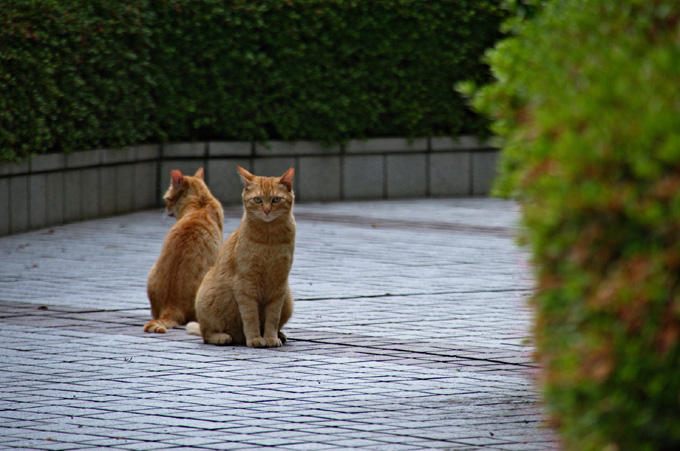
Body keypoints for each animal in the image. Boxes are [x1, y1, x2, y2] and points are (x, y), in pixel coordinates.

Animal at [186, 168, 294, 348]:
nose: (266, 211)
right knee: (206, 333)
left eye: (276, 199)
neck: (269, 239)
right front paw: (255, 338)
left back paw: (280, 334)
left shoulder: (279, 286)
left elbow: (273, 317)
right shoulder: (246, 284)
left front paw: (270, 337)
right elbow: (251, 317)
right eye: (257, 200)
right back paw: (222, 337)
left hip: (288, 300)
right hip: (206, 299)